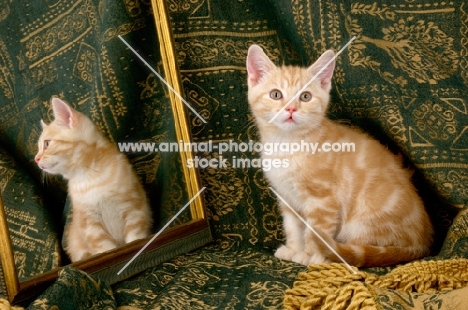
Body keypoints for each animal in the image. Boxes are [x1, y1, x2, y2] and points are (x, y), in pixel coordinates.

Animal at [34, 98, 152, 262]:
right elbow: (105, 249)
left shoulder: (134, 207)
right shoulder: (89, 224)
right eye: (39, 147)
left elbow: (135, 238)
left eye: (46, 144)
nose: (36, 159)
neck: (89, 177)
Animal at [247, 45, 434, 266]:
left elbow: (315, 232)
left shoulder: (323, 201)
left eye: (305, 97)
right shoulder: (286, 197)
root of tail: (421, 243)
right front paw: (294, 249)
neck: (286, 144)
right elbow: (293, 227)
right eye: (276, 94)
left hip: (362, 221)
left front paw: (310, 255)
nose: (291, 109)